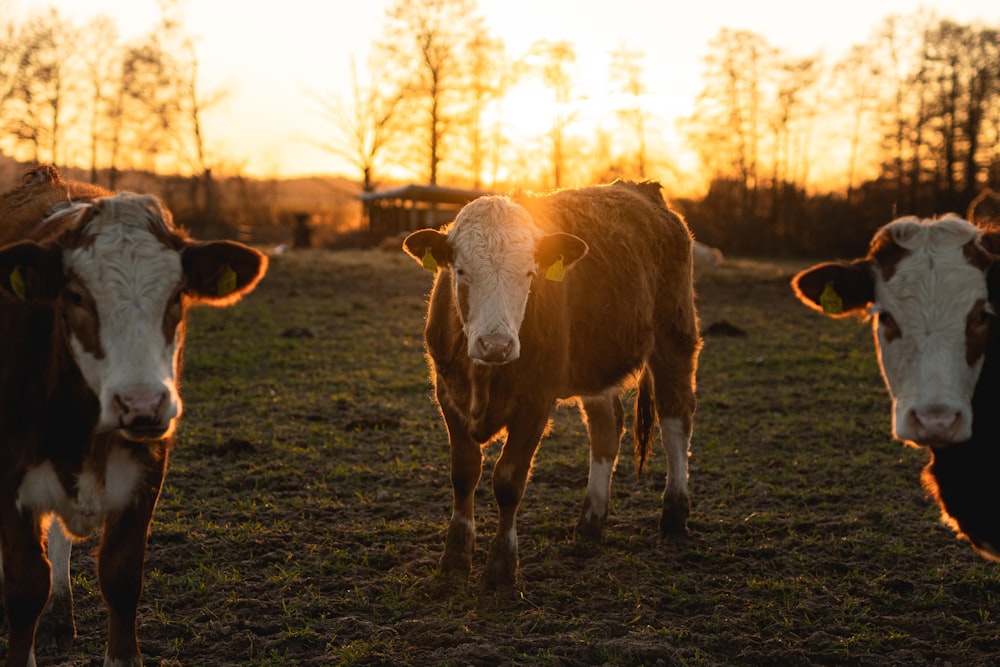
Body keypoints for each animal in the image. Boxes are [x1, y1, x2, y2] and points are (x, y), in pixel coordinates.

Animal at [0, 163, 270, 667]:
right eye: (75, 296)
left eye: (178, 295)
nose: (142, 404)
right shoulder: (10, 481)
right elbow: (25, 585)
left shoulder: (146, 474)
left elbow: (121, 578)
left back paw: (60, 617)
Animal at [402, 181, 700, 588]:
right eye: (460, 271)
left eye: (530, 273)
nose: (496, 344)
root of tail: (644, 191)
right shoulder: (448, 393)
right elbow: (464, 473)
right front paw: (455, 560)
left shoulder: (536, 400)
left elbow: (509, 480)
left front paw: (501, 568)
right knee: (607, 429)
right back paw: (590, 525)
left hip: (675, 335)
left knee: (675, 422)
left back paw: (673, 518)